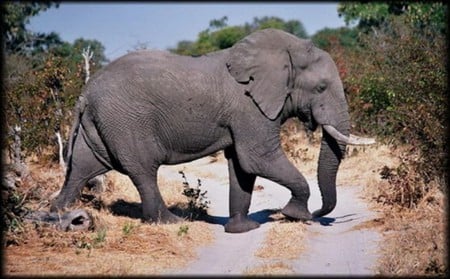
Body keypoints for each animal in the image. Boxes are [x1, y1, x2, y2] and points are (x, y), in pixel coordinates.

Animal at [50, 28, 372, 234]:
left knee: (82, 168)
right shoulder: (248, 107)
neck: (283, 52)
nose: (319, 214)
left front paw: (243, 229)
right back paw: (171, 222)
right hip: (125, 120)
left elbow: (241, 165)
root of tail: (85, 92)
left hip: (99, 124)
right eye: (320, 88)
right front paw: (296, 216)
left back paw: (58, 214)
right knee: (142, 169)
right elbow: (258, 158)